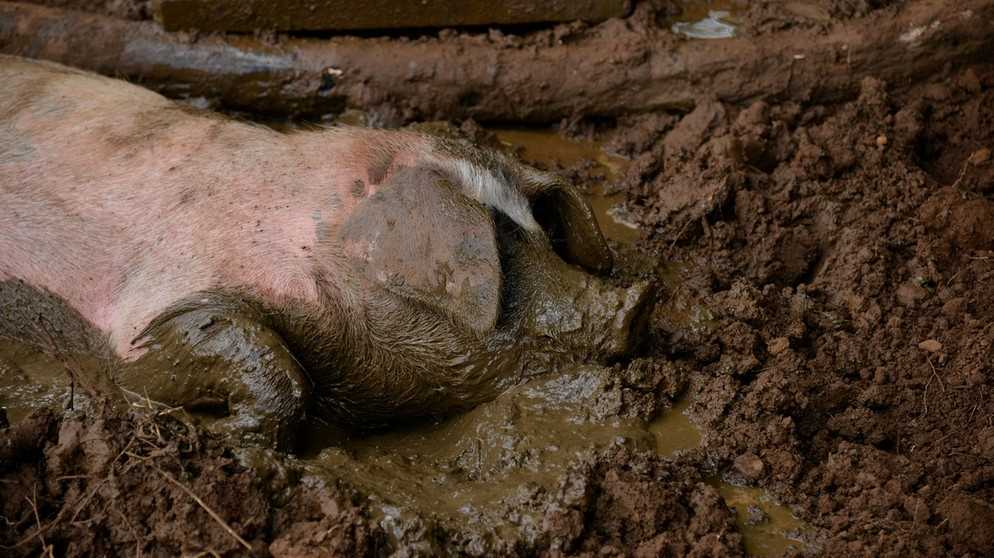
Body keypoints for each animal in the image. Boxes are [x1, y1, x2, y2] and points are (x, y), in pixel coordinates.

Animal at [0, 57, 652, 450]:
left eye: (538, 234)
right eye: (496, 257)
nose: (638, 301)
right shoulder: (149, 310)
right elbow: (256, 359)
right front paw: (234, 440)